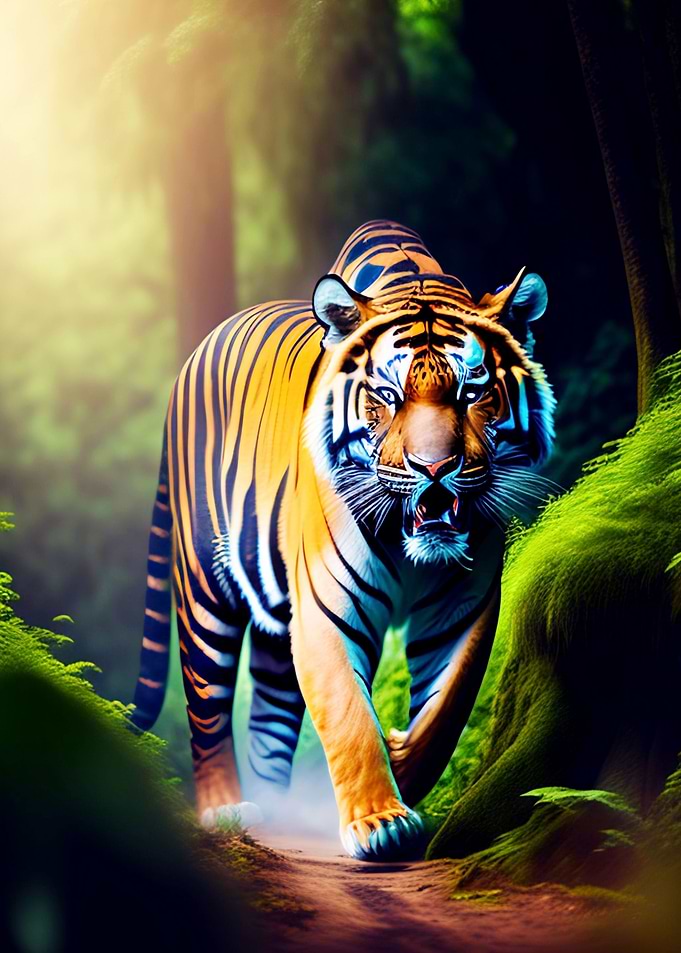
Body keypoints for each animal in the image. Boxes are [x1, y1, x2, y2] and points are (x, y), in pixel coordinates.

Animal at [131, 220, 555, 861]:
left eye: (471, 392)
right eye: (387, 396)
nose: (436, 468)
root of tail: (191, 359)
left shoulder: (465, 607)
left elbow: (448, 706)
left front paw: (402, 762)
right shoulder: (327, 607)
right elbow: (349, 713)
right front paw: (380, 822)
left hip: (277, 623)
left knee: (271, 713)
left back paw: (281, 812)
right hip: (204, 588)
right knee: (206, 702)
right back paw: (227, 808)